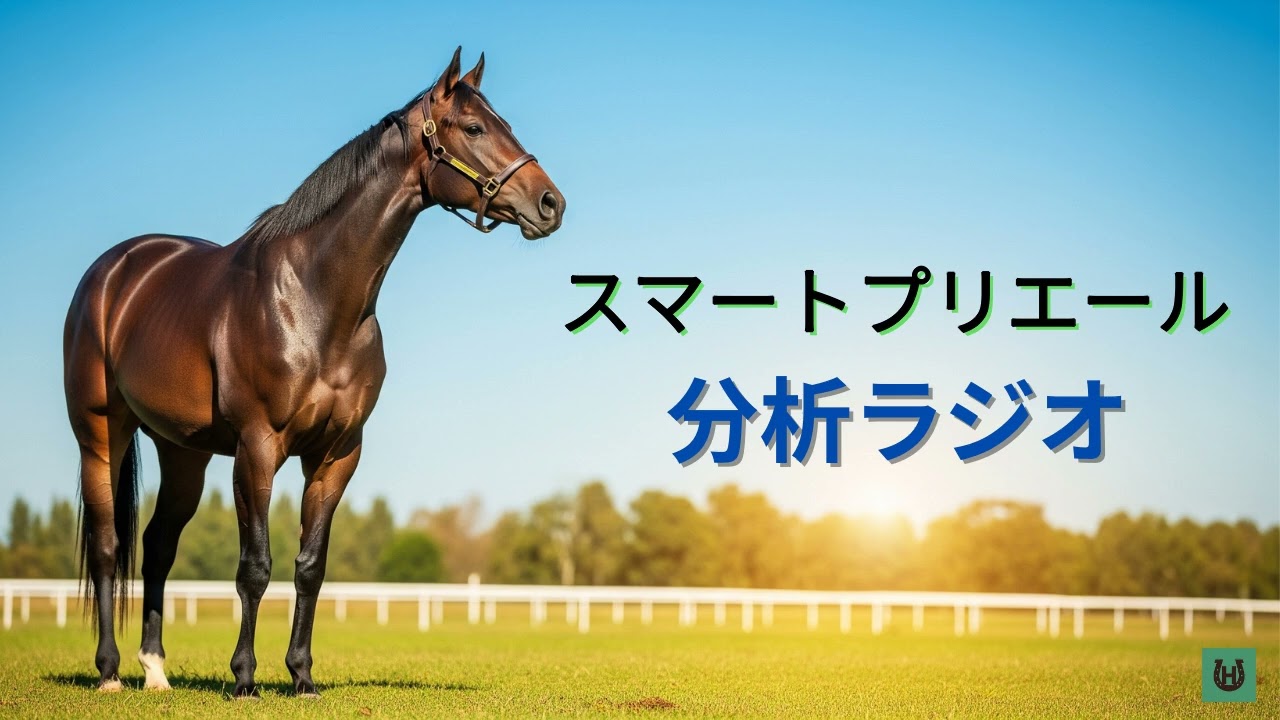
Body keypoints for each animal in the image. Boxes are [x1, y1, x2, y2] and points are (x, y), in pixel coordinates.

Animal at [62, 47, 564, 698]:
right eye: (475, 128)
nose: (551, 203)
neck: (315, 299)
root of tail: (113, 271)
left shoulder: (336, 455)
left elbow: (310, 567)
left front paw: (301, 675)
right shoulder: (257, 449)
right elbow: (255, 568)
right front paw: (245, 678)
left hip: (184, 453)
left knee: (157, 547)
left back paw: (155, 670)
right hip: (101, 434)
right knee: (107, 547)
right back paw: (109, 672)